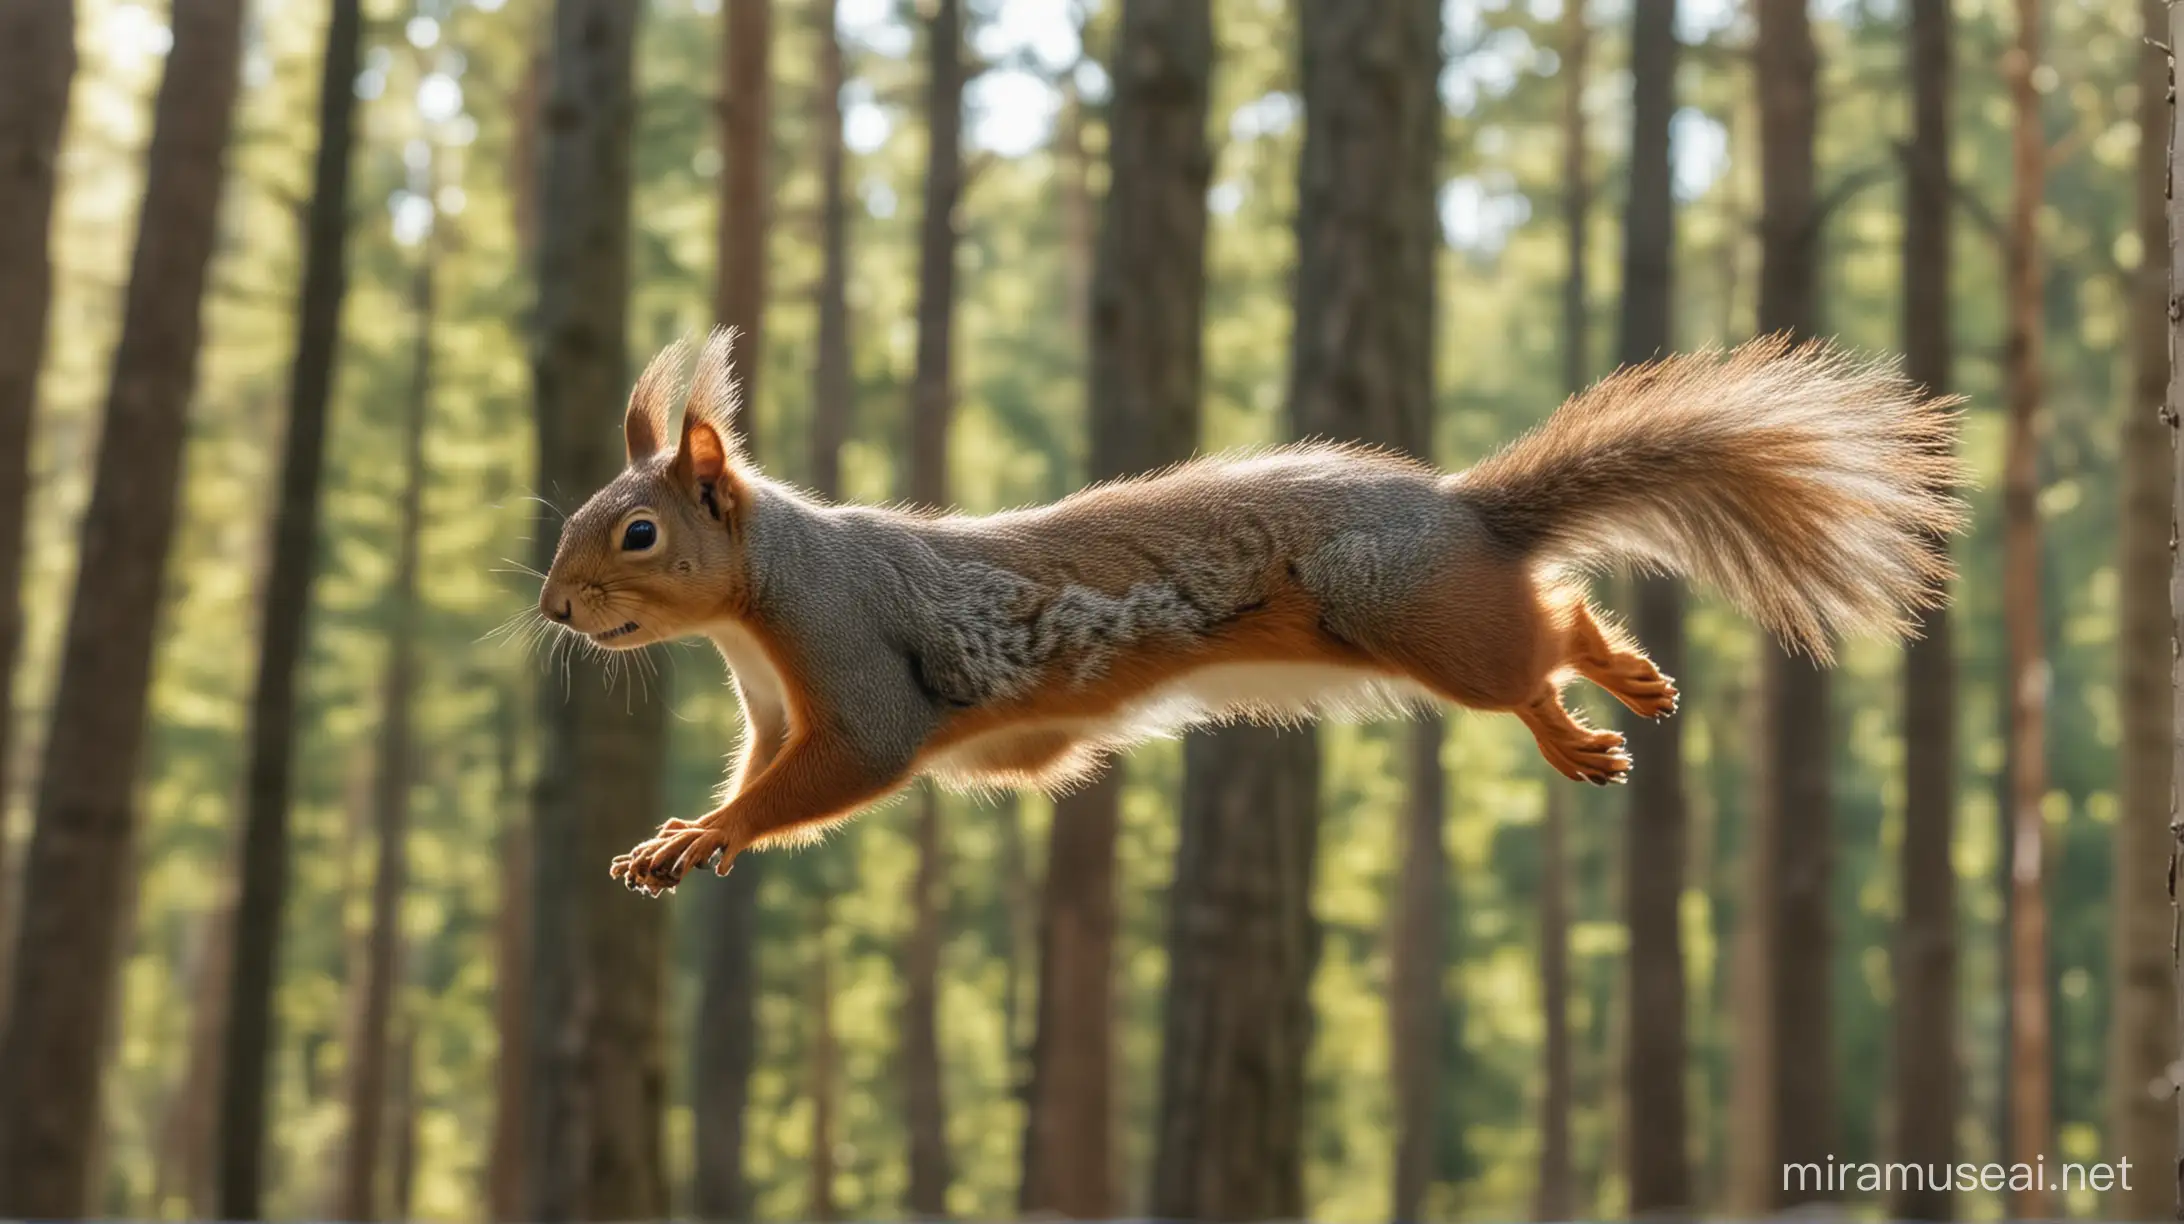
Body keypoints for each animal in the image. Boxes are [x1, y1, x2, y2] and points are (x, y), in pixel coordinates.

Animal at [537, 330, 1974, 896]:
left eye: (637, 533)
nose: (553, 608)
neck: (759, 606)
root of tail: (1466, 514)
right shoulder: (771, 709)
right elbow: (765, 772)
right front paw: (683, 833)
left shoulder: (854, 673)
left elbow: (831, 775)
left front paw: (700, 838)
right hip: (1432, 619)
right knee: (1553, 619)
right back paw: (1615, 691)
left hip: (1428, 624)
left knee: (1539, 638)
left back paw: (1593, 710)